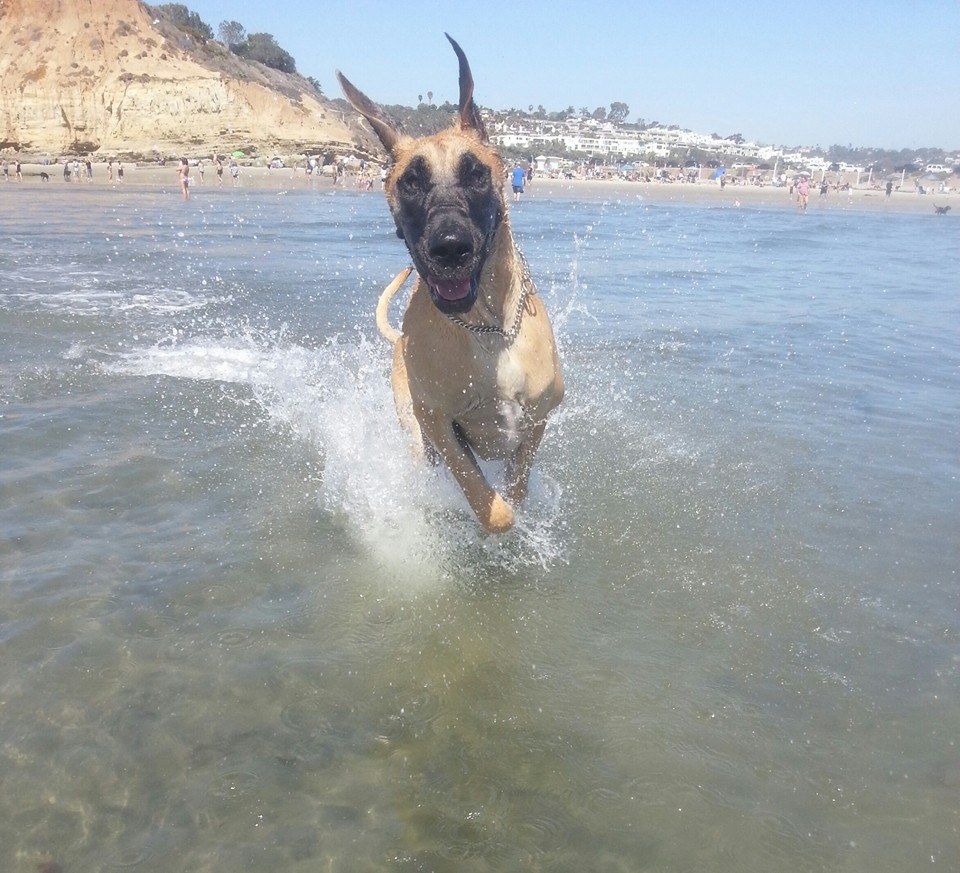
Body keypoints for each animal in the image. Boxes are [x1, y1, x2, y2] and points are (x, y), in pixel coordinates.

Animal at [338, 34, 564, 532]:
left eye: (476, 173)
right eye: (410, 182)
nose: (450, 246)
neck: (487, 330)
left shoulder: (539, 417)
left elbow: (519, 482)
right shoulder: (437, 422)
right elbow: (493, 507)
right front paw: (497, 516)